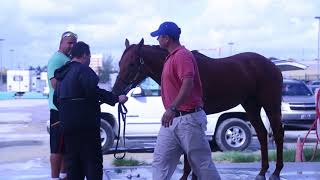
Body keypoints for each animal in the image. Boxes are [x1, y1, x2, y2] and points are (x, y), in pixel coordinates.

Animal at [112, 38, 282, 179]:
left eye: (132, 64)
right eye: (120, 63)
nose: (115, 91)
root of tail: (272, 66)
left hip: (271, 105)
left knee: (278, 133)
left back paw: (276, 172)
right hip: (251, 106)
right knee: (262, 133)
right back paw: (262, 172)